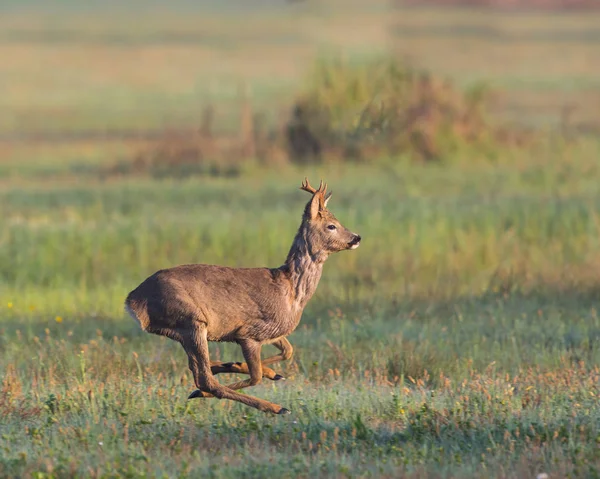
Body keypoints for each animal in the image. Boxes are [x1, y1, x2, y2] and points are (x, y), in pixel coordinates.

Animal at [124, 178, 360, 414]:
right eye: (331, 225)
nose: (357, 237)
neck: (291, 291)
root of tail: (133, 301)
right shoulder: (249, 333)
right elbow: (256, 376)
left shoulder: (270, 332)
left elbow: (288, 351)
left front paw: (245, 366)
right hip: (191, 321)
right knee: (205, 379)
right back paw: (274, 407)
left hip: (186, 329)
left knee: (198, 369)